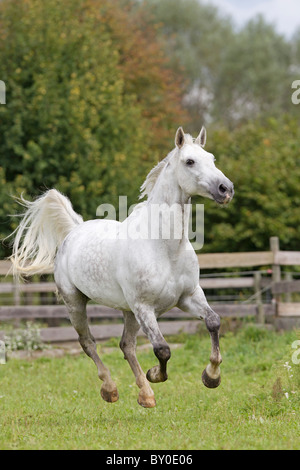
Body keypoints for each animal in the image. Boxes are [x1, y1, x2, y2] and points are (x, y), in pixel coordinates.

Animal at [9, 127, 234, 408]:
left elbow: (213, 322)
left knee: (126, 345)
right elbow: (162, 349)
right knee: (89, 343)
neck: (164, 247)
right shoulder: (144, 307)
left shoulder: (189, 296)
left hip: (128, 312)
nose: (226, 189)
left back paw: (145, 394)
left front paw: (211, 376)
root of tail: (74, 230)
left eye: (212, 159)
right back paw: (111, 389)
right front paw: (156, 374)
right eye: (189, 161)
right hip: (76, 303)